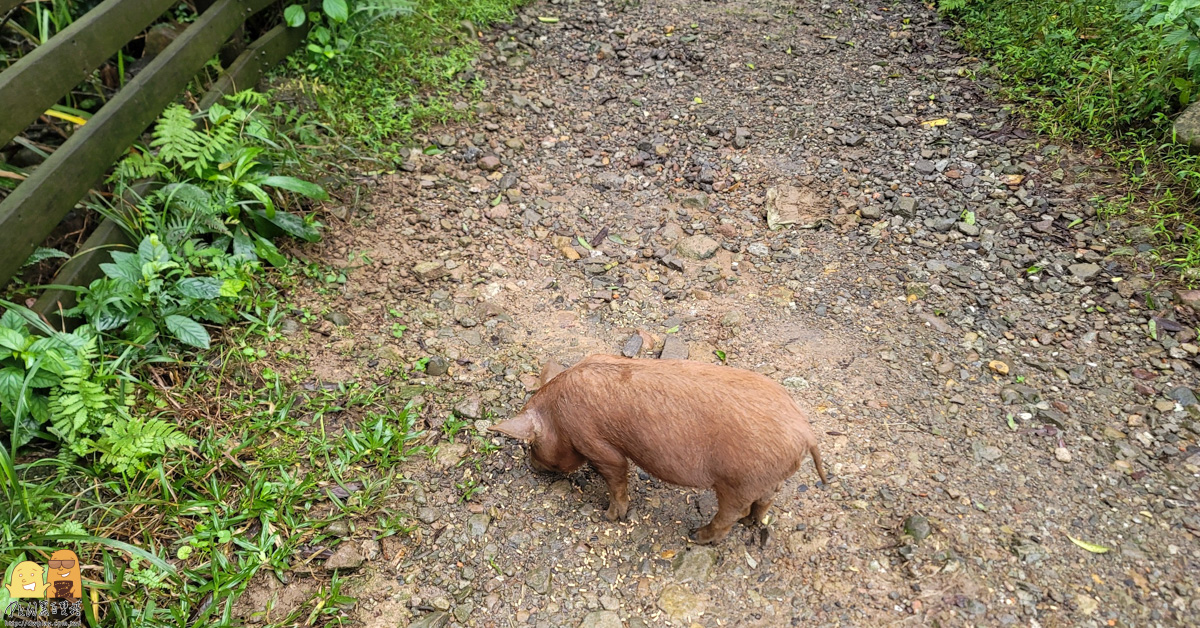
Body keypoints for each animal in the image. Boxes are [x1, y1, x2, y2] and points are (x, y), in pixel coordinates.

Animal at [487, 355, 825, 542]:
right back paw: (750, 524)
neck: (557, 413)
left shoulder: (595, 442)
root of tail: (805, 430)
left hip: (739, 481)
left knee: (730, 514)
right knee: (765, 502)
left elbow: (617, 476)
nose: (531, 465)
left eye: (533, 444)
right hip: (769, 477)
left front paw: (609, 516)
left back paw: (696, 536)